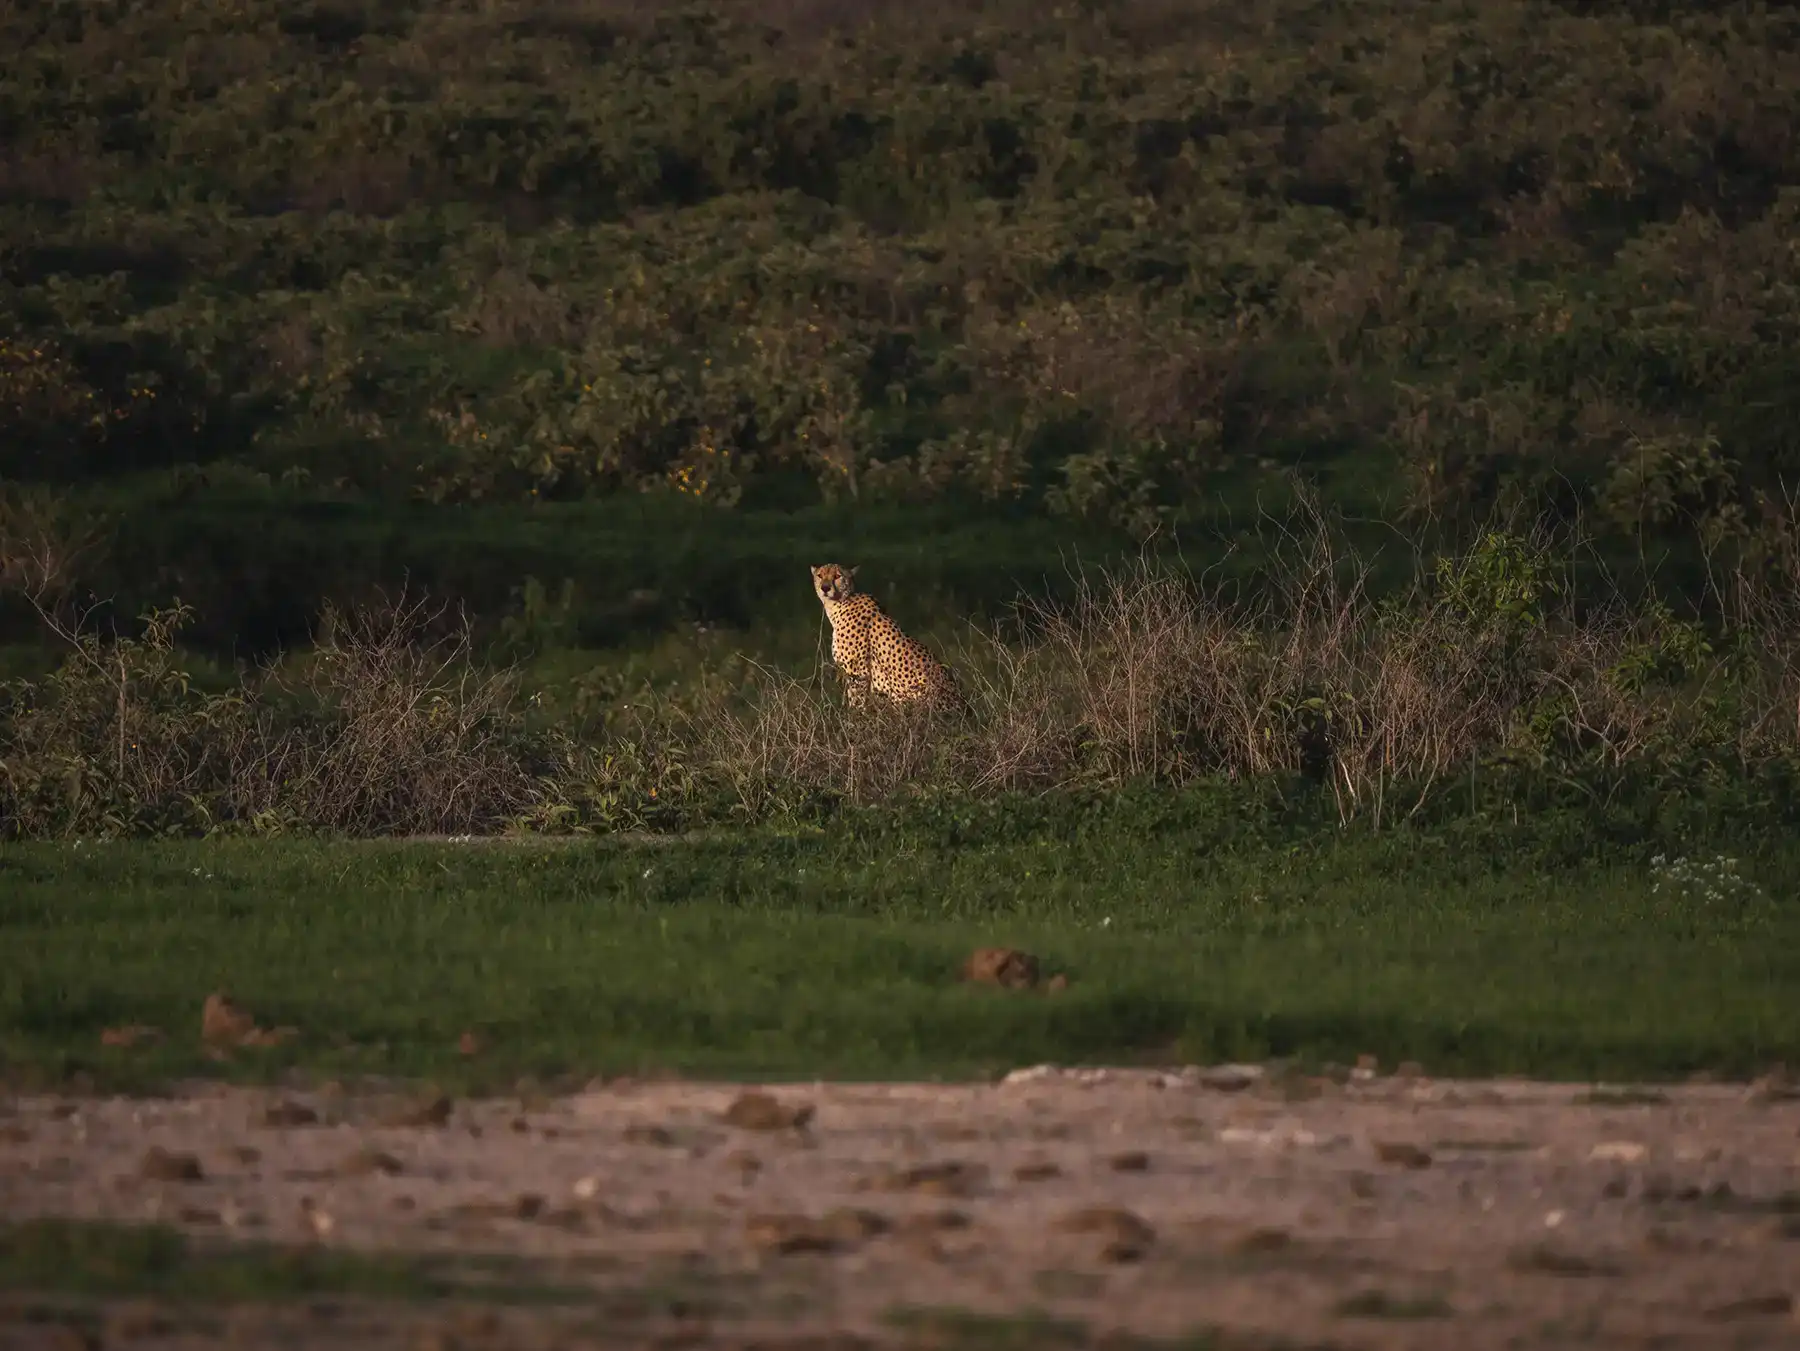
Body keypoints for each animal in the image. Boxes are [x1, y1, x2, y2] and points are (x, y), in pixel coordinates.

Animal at [809, 563, 964, 711]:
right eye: (820, 575)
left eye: (837, 576)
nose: (825, 588)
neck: (839, 604)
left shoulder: (859, 674)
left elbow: (857, 704)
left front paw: (854, 718)